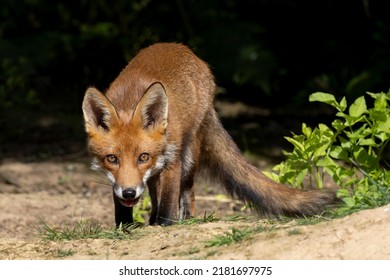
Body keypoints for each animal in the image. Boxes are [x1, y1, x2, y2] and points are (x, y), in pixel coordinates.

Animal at [81, 42, 336, 226]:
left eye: (143, 157)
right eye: (112, 159)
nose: (129, 192)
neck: (129, 101)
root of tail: (180, 47)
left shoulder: (172, 159)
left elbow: (169, 201)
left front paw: (165, 225)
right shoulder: (122, 178)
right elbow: (124, 206)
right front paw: (125, 228)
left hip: (189, 154)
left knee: (188, 193)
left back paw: (185, 219)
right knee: (155, 191)